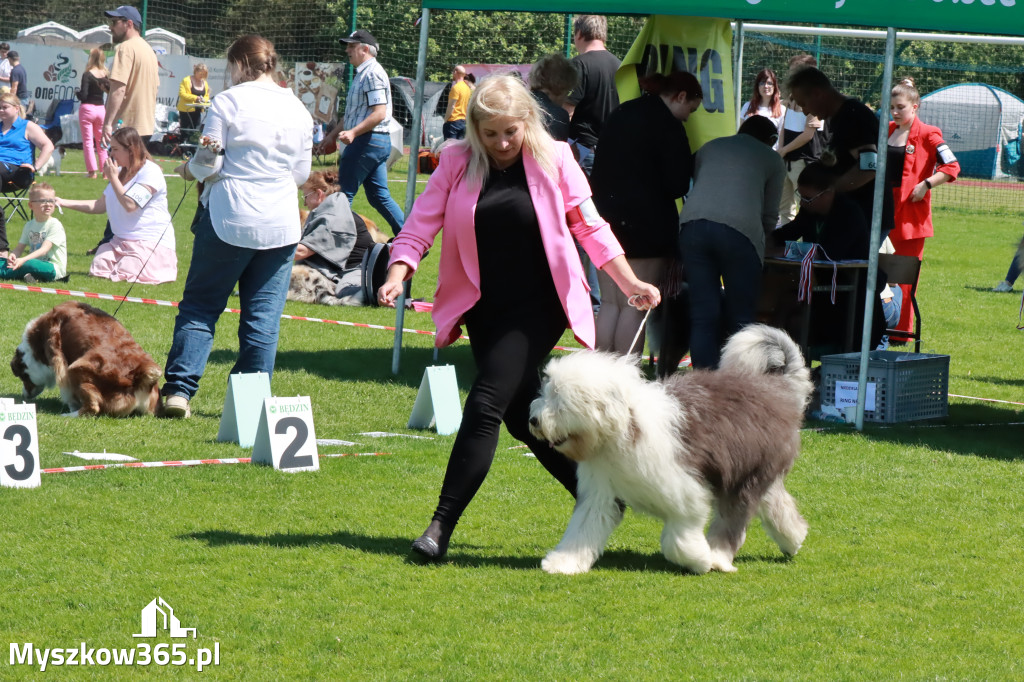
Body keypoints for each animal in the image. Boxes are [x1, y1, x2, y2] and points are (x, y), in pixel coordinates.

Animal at [11, 301, 162, 413]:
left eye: (22, 377)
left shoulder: (58, 358)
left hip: (76, 368)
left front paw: (71, 405)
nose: (24, 396)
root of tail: (139, 375)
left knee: (93, 407)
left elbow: (66, 388)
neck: (37, 343)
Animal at [532, 323, 811, 573]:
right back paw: (794, 539)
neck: (623, 427)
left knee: (732, 518)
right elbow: (583, 527)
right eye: (546, 392)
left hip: (742, 475)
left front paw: (700, 560)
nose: (533, 421)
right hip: (756, 471)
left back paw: (718, 558)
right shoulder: (600, 490)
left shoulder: (685, 491)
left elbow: (678, 540)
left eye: (560, 399)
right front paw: (562, 563)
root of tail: (779, 388)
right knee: (777, 502)